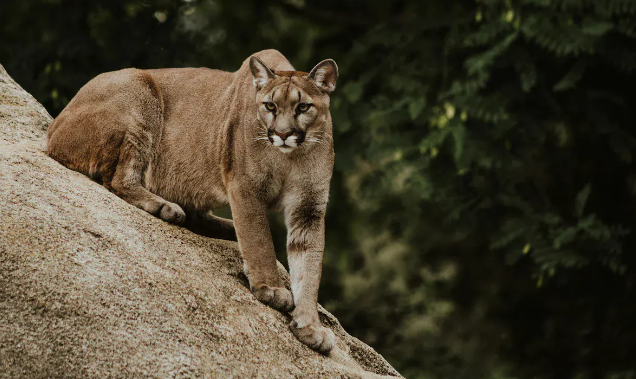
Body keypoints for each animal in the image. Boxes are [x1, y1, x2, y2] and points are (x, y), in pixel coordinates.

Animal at [46, 49, 338, 354]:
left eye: (303, 107)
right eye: (269, 106)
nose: (282, 134)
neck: (290, 157)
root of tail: (52, 129)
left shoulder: (308, 208)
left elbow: (309, 269)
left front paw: (310, 327)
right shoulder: (246, 188)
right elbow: (259, 242)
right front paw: (271, 288)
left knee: (196, 213)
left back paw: (223, 228)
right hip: (140, 92)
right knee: (119, 179)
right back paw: (165, 207)